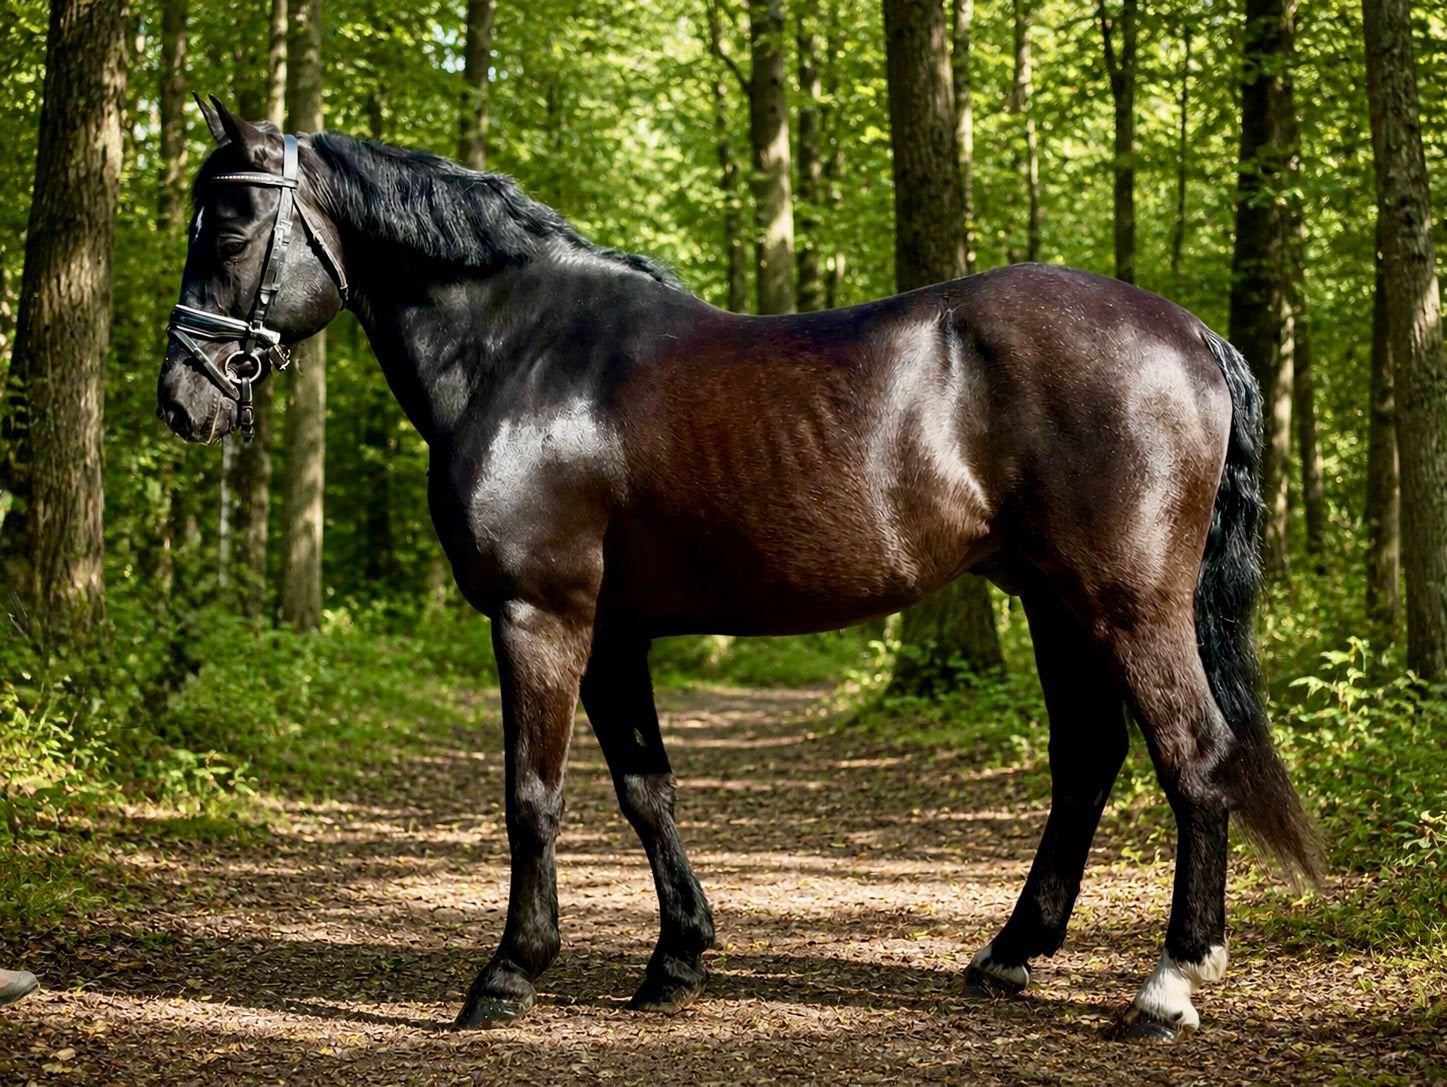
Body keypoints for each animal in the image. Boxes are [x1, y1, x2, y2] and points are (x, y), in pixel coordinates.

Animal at [158, 99, 1320, 1041]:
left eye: (230, 223)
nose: (182, 396)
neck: (523, 356)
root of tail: (1189, 332)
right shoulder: (612, 630)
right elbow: (645, 788)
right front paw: (675, 957)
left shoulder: (540, 615)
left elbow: (532, 793)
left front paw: (508, 975)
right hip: (1052, 602)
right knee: (1086, 760)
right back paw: (1009, 954)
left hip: (1128, 605)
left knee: (1193, 756)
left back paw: (1169, 984)